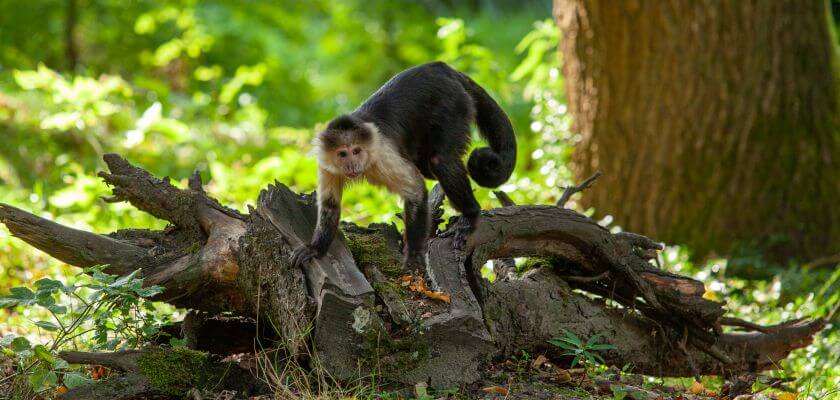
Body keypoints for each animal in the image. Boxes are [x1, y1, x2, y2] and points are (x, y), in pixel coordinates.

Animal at [294, 61, 520, 270]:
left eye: (356, 151)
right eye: (343, 154)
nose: (352, 164)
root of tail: (442, 67)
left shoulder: (381, 155)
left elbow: (416, 191)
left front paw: (413, 254)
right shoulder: (326, 164)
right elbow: (330, 206)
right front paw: (316, 248)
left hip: (454, 103)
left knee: (440, 161)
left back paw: (470, 216)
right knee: (428, 166)